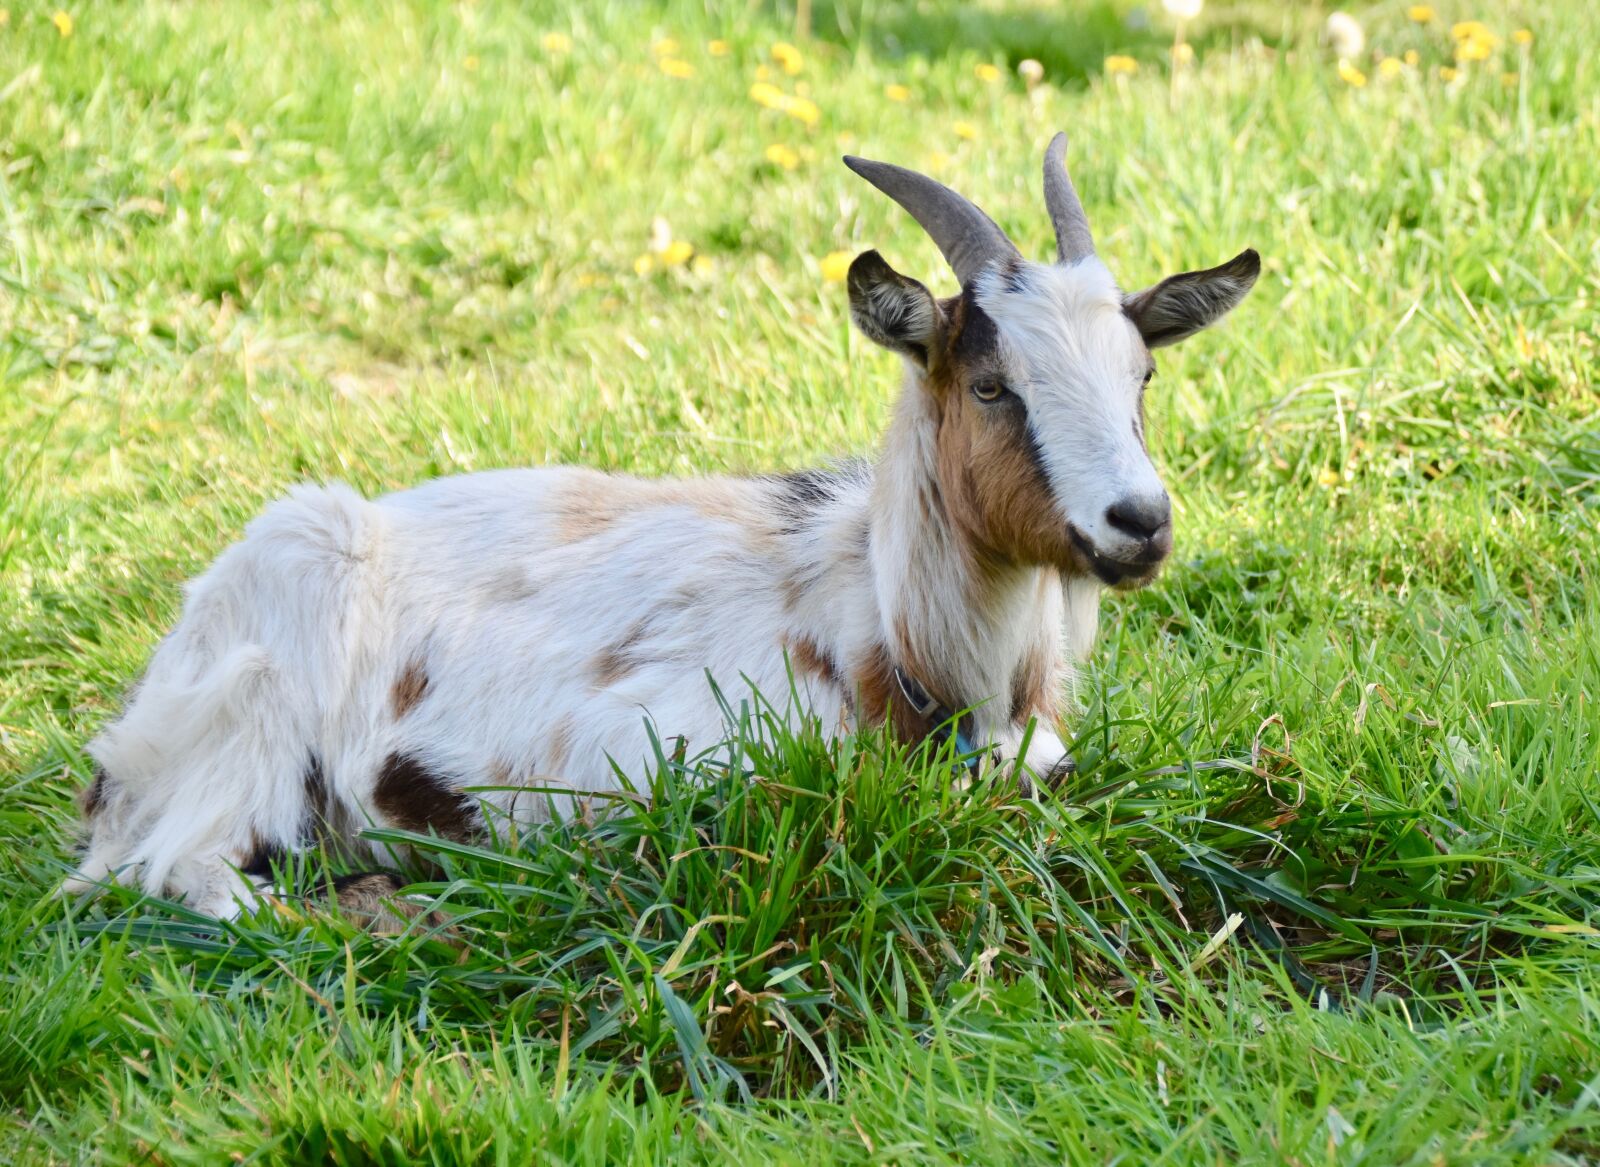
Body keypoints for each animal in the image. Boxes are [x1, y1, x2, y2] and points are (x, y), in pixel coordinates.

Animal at [64, 135, 1259, 920]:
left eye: (1142, 374)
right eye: (992, 385)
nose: (1139, 522)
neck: (894, 638)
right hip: (258, 713)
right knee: (183, 872)